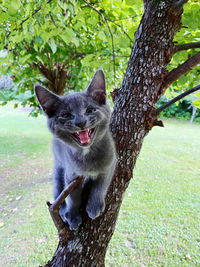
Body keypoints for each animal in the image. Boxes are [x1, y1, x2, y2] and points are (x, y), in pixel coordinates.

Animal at [35, 69, 117, 230]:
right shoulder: (71, 174)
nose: (81, 122)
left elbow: (100, 185)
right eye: (66, 115)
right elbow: (73, 197)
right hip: (59, 167)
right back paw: (62, 211)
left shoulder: (111, 163)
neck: (87, 154)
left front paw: (94, 206)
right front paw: (73, 216)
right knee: (58, 190)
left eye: (90, 110)